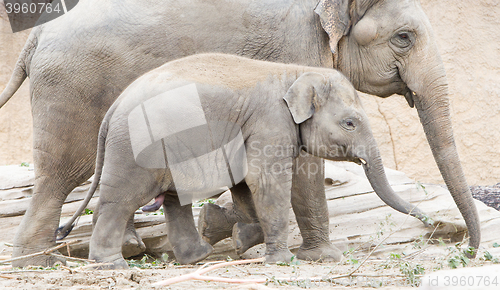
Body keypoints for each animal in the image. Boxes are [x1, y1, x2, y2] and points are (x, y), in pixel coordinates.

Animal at [57, 53, 426, 268]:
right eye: (350, 123)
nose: (429, 220)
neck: (295, 72)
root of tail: (112, 111)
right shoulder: (271, 122)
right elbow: (265, 181)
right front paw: (282, 261)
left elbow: (247, 184)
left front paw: (240, 239)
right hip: (135, 151)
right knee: (120, 201)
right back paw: (111, 265)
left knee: (174, 198)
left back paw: (199, 255)